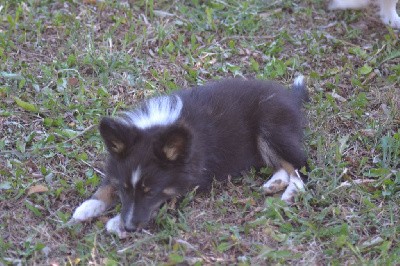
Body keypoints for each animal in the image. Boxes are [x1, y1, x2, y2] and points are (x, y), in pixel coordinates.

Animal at [72, 76, 310, 237]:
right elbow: (106, 186)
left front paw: (115, 223)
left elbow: (161, 202)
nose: (129, 227)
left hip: (271, 127)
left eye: (151, 193)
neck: (160, 129)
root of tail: (289, 97)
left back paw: (291, 192)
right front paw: (87, 207)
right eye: (124, 190)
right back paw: (275, 182)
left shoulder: (186, 184)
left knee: (299, 164)